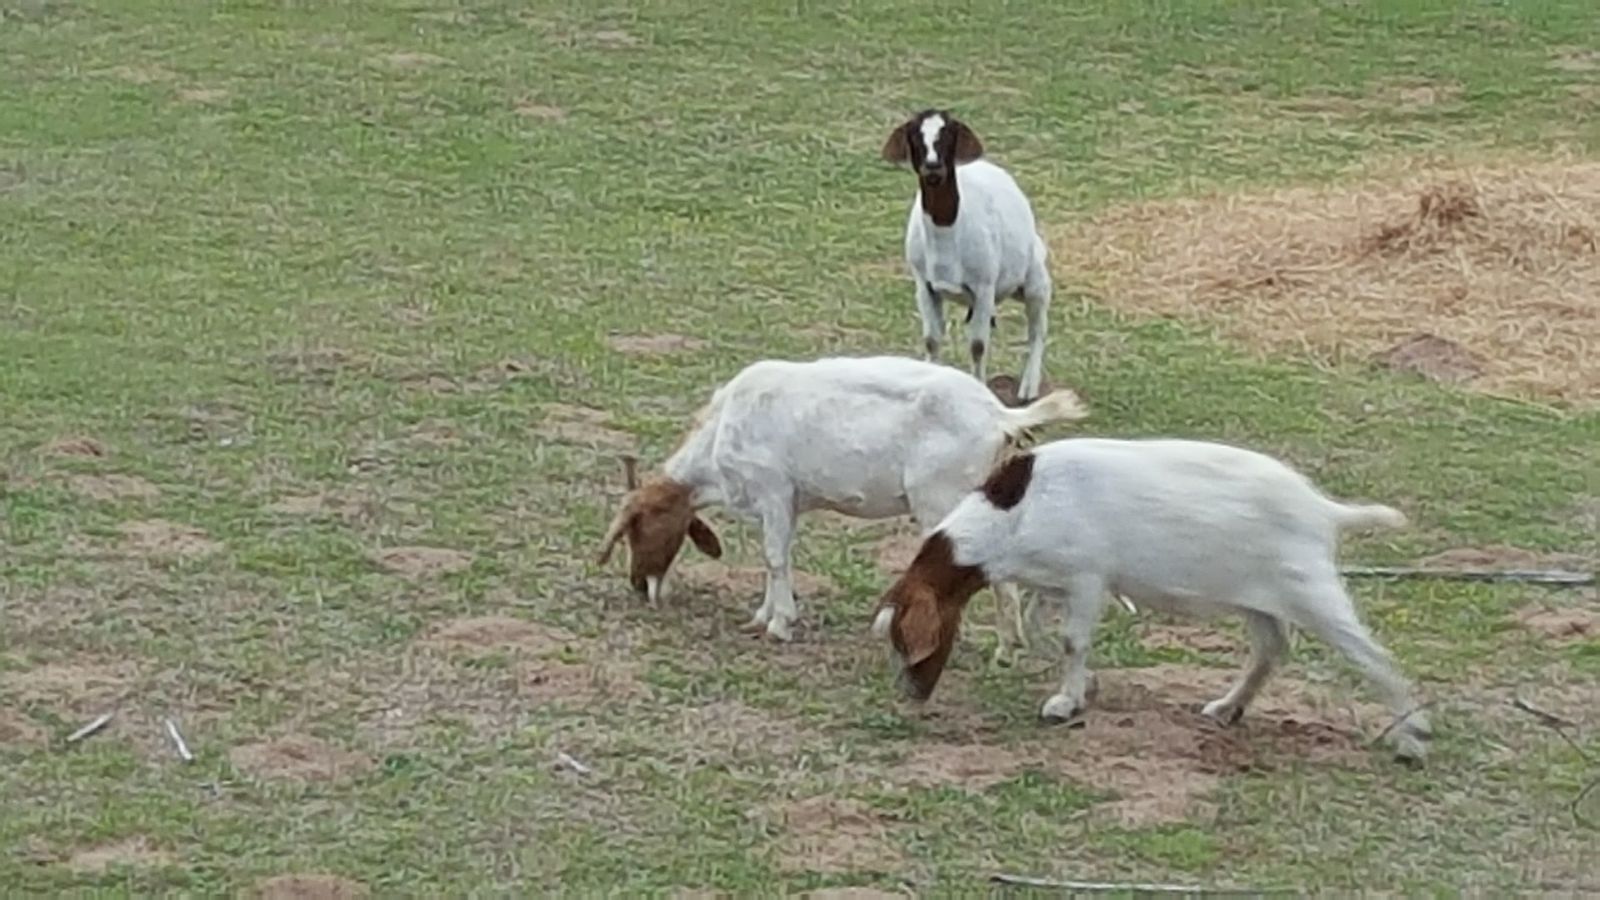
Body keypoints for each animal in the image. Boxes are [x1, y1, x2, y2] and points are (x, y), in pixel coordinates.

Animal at [595, 355, 1089, 649]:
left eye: (638, 527)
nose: (639, 584)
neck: (723, 429)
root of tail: (998, 415)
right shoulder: (787, 504)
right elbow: (777, 558)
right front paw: (763, 615)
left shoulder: (773, 492)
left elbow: (774, 557)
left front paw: (779, 624)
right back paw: (1006, 645)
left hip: (939, 498)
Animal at [871, 437, 1434, 762]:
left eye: (909, 641)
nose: (912, 694)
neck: (1012, 513)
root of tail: (1324, 511)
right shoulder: (1050, 584)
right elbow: (1041, 631)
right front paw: (1087, 686)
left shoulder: (1088, 577)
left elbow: (1072, 640)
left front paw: (1064, 702)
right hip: (1260, 601)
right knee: (1272, 648)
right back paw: (1226, 708)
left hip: (1312, 589)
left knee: (1372, 655)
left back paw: (1413, 735)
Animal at [882, 109, 1052, 403]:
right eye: (914, 135)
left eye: (949, 134)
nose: (933, 167)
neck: (947, 235)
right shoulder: (924, 286)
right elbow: (932, 340)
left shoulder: (984, 287)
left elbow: (978, 345)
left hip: (1034, 280)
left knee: (1037, 330)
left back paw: (1028, 388)